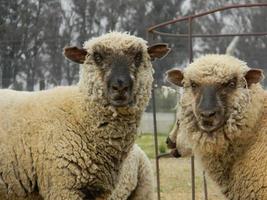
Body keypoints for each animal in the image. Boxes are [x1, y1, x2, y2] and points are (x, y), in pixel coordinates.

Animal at [0, 32, 171, 199]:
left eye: (138, 56)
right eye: (97, 57)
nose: (120, 87)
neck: (80, 115)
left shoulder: (97, 191)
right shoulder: (64, 187)